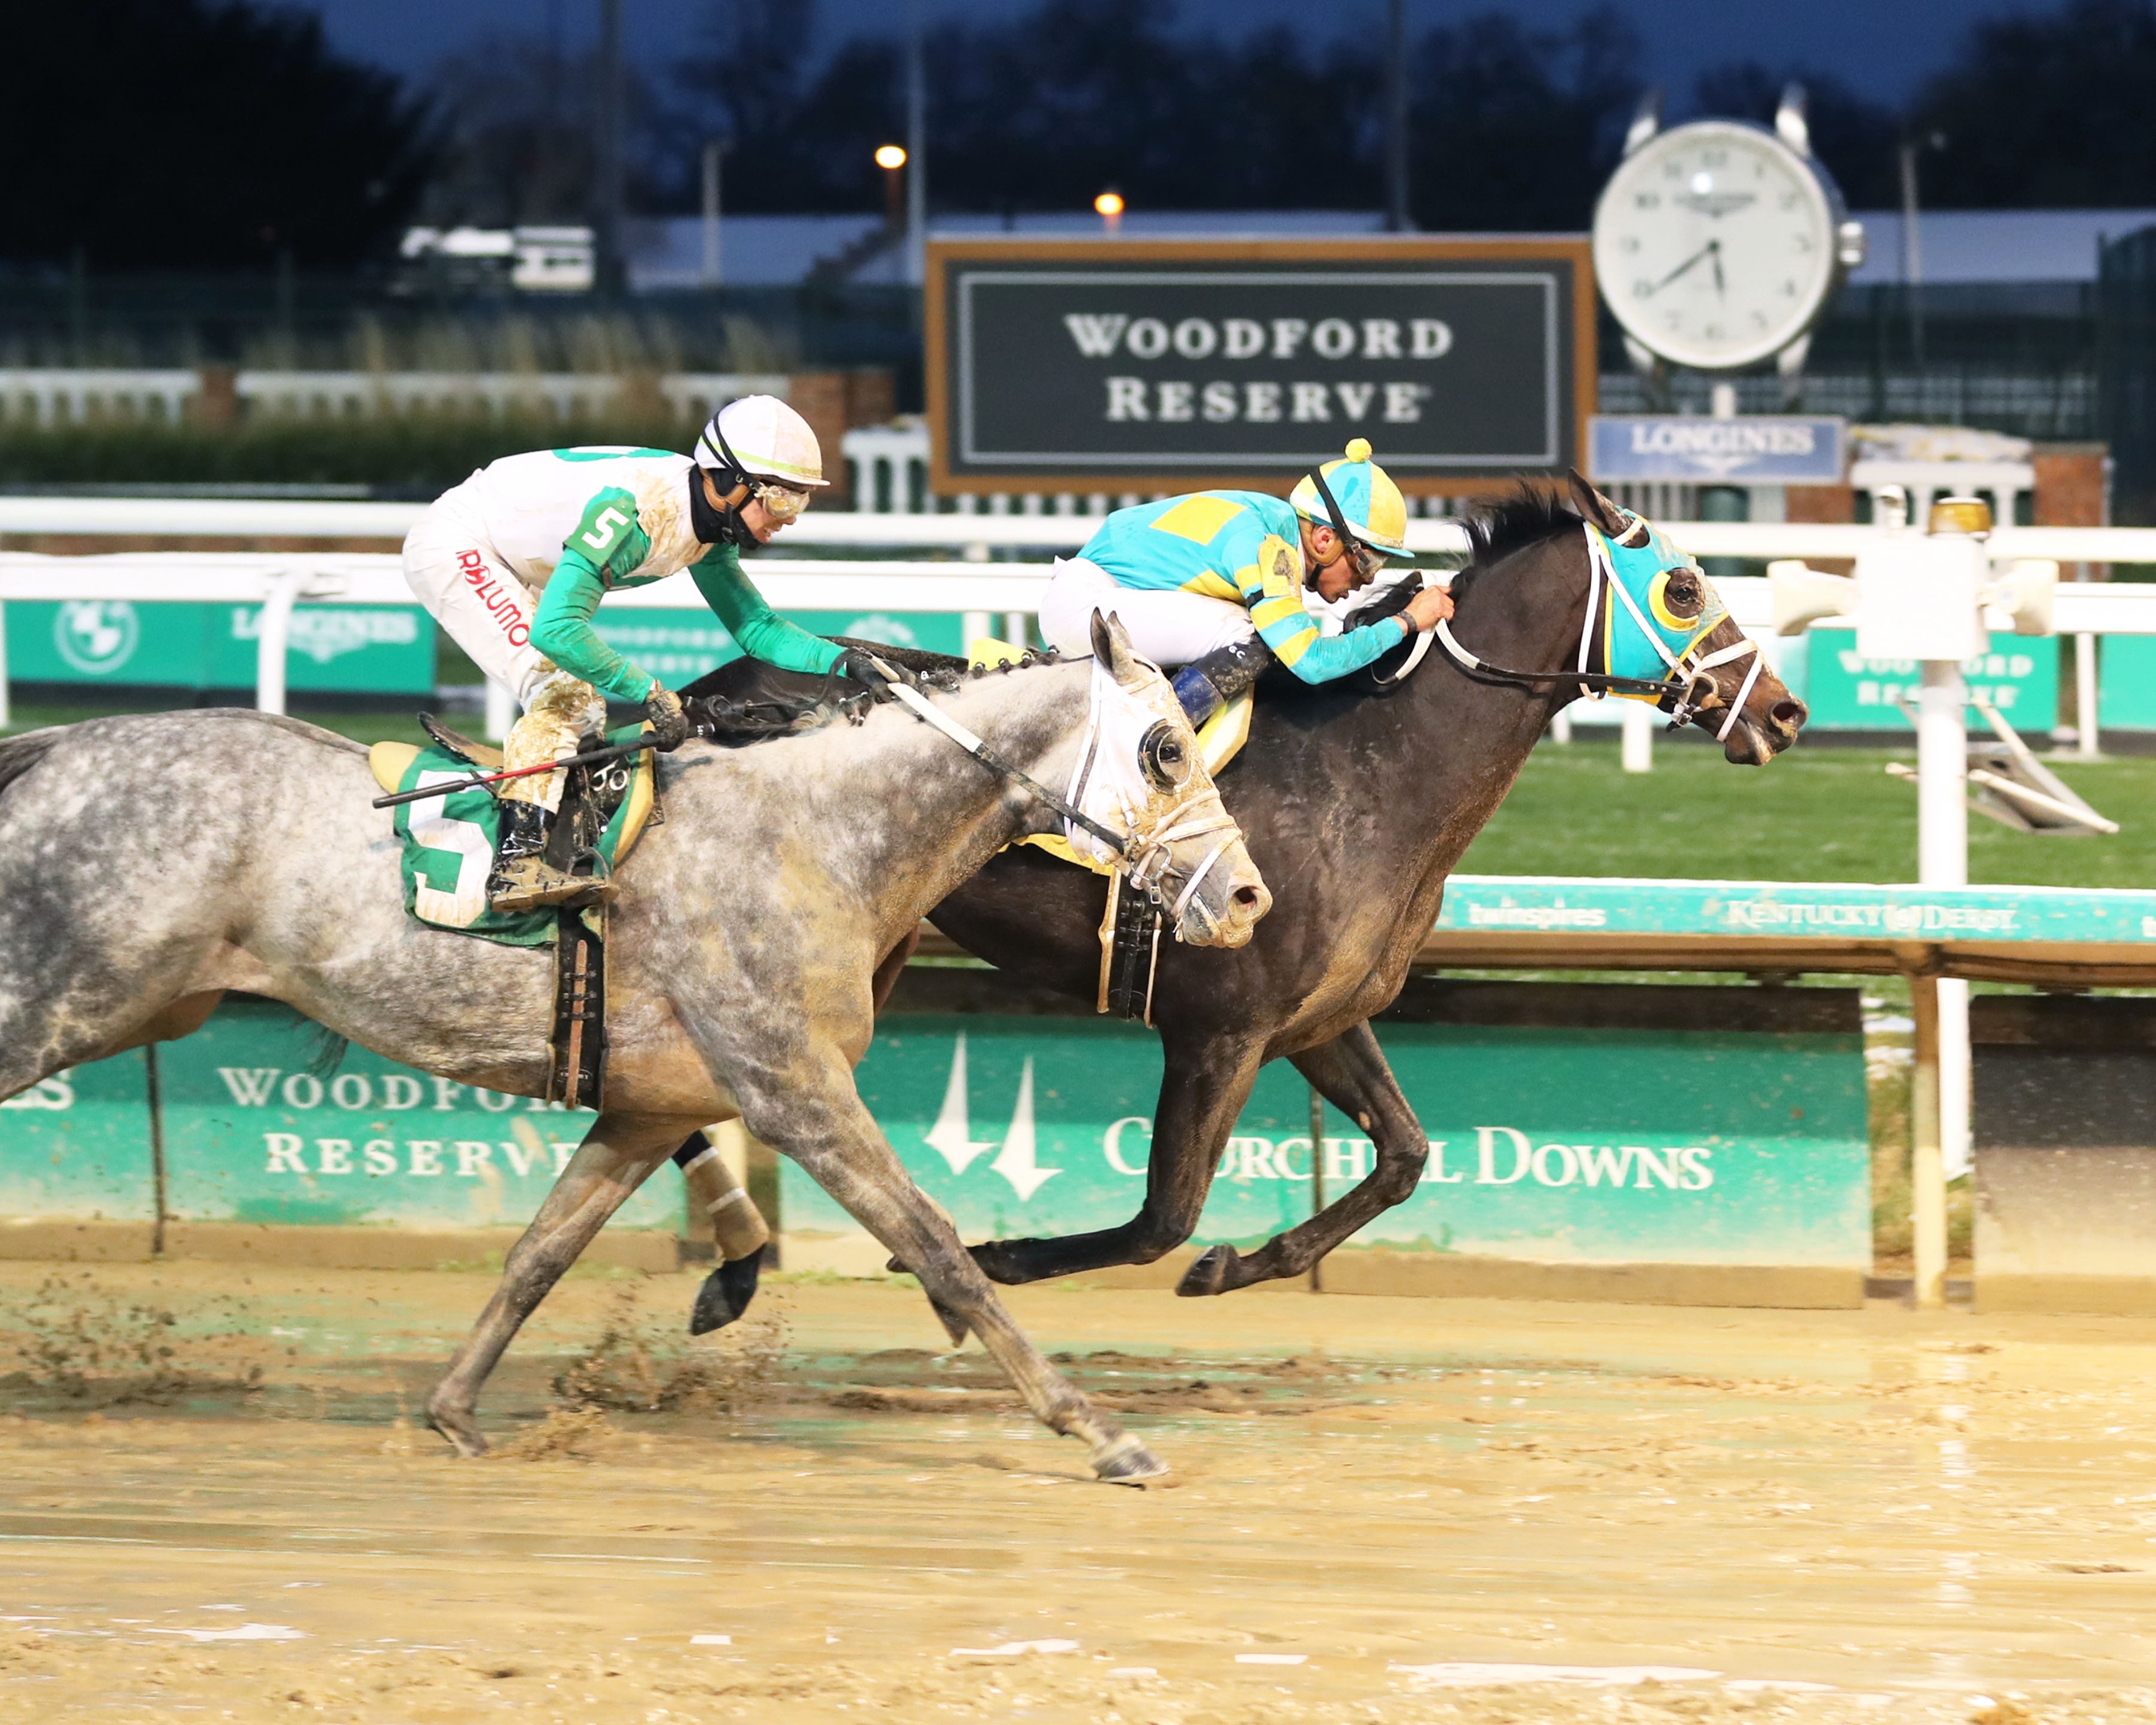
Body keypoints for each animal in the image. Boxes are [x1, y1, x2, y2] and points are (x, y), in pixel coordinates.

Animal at [0, 612, 1259, 1474]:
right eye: (1163, 749)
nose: (1248, 896)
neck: (817, 835)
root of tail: (59, 745)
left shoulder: (656, 1103)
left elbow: (541, 1251)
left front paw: (456, 1408)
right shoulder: (794, 1086)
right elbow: (935, 1239)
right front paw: (1094, 1427)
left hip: (148, 1003)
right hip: (63, 997)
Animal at [690, 479, 1802, 1302]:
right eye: (1685, 589)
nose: (1786, 714)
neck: (1374, 765)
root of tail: (704, 692)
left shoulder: (1313, 1020)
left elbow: (1405, 1153)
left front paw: (1246, 1265)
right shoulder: (1217, 1031)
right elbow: (1161, 1221)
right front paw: (1001, 1257)